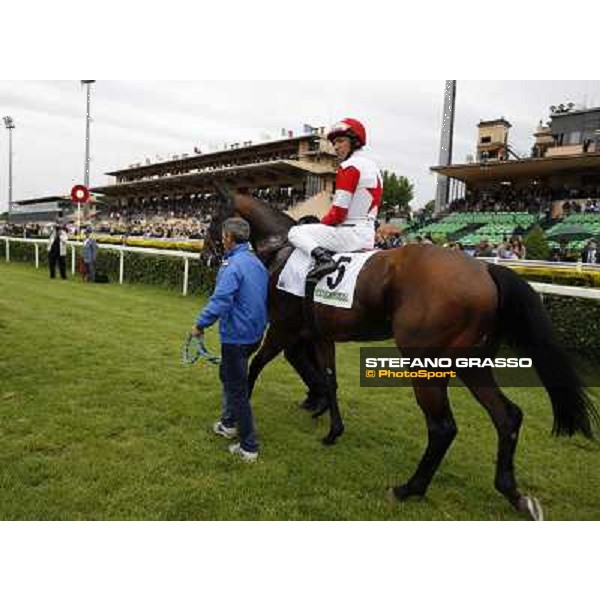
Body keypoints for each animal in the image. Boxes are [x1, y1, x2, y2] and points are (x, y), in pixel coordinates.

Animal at [205, 184, 596, 520]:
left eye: (211, 218)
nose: (210, 255)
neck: (283, 253)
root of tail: (484, 268)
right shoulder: (320, 334)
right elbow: (329, 380)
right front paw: (332, 429)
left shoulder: (284, 328)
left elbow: (254, 366)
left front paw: (233, 419)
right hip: (471, 362)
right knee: (507, 416)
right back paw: (514, 494)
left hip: (425, 363)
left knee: (443, 427)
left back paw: (410, 488)